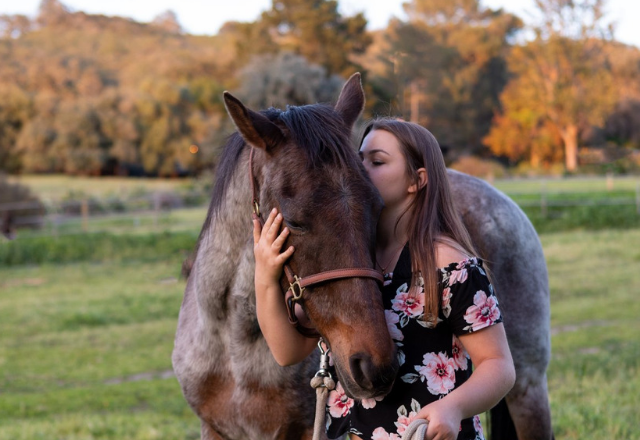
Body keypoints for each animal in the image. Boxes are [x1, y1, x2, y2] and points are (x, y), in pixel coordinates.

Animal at [172, 74, 552, 440]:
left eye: (378, 207)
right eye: (292, 222)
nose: (375, 367)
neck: (236, 343)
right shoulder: (215, 429)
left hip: (527, 388)